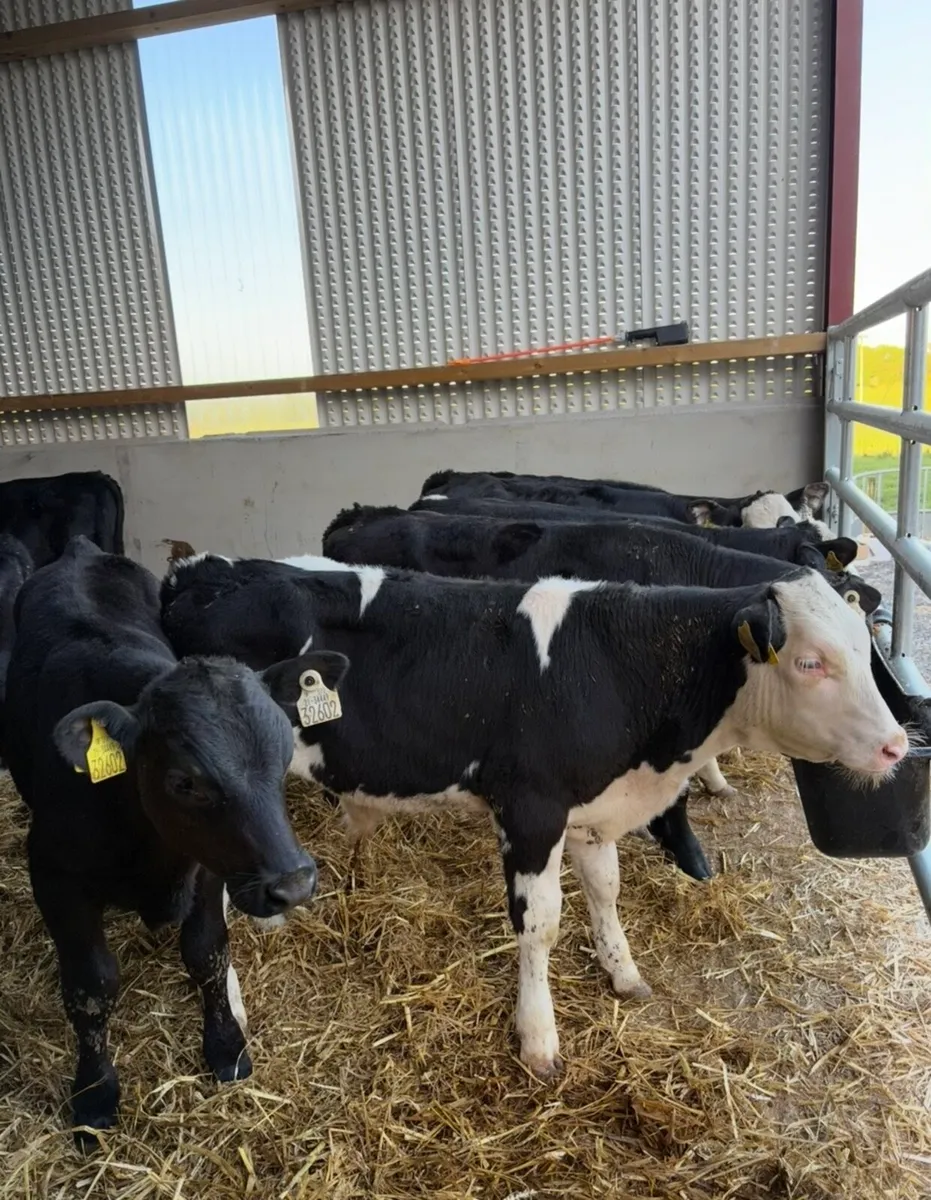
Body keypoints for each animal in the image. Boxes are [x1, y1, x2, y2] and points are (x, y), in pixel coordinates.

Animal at [3, 537, 343, 1147]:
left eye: (284, 755)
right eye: (186, 782)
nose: (294, 884)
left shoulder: (208, 866)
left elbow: (207, 952)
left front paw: (227, 1047)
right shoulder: (54, 877)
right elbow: (91, 986)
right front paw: (95, 1093)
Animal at [161, 553, 908, 1081]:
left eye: (862, 646)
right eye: (809, 662)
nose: (896, 746)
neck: (624, 665)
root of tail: (206, 573)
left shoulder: (591, 809)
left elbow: (606, 890)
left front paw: (622, 972)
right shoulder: (529, 810)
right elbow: (540, 925)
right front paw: (539, 1037)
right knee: (208, 919)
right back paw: (234, 1013)